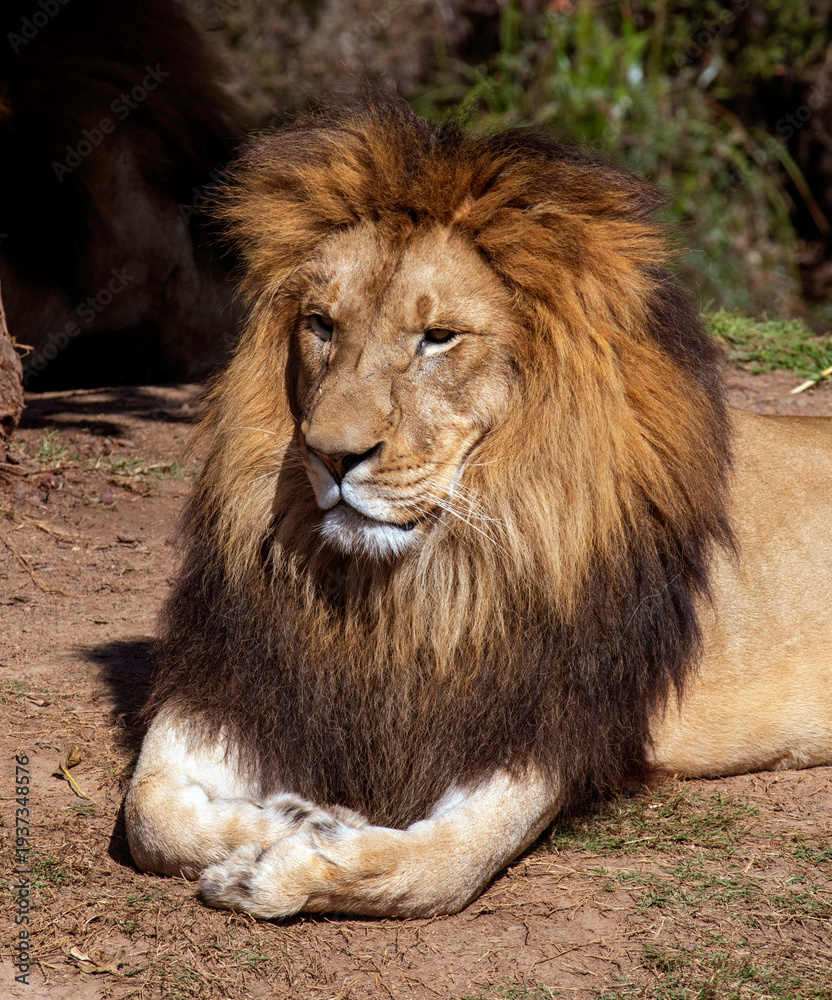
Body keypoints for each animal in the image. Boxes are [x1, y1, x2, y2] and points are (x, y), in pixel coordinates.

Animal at [124, 95, 832, 919]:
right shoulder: (232, 682)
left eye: (437, 339)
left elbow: (441, 866)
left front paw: (288, 864)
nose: (331, 456)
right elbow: (149, 813)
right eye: (321, 325)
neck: (404, 591)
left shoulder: (547, 729)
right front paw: (287, 817)